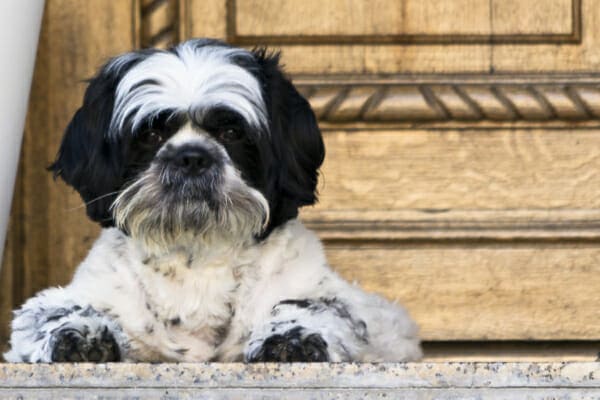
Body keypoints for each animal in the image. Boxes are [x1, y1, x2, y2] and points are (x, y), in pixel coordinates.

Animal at [3, 39, 422, 362]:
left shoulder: (350, 305)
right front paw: (79, 333)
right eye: (151, 135)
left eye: (232, 132)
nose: (191, 156)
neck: (197, 256)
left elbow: (315, 306)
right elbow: (54, 309)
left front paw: (291, 337)